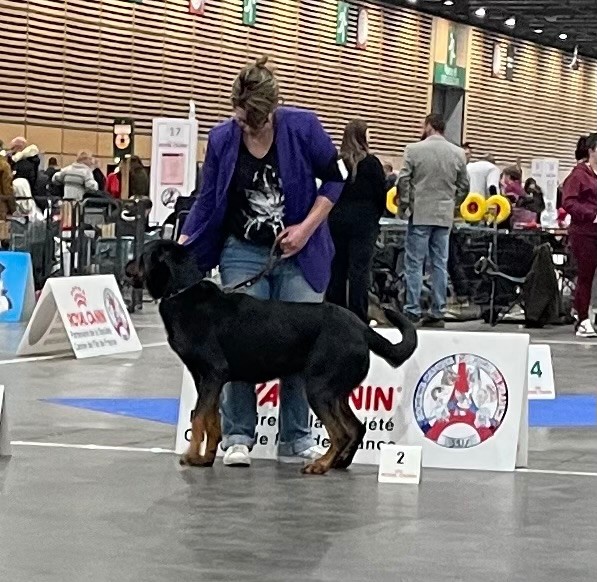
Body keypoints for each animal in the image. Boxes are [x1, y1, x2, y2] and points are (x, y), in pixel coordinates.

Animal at [127, 241, 414, 474]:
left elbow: (198, 418)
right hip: (335, 392)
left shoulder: (212, 373)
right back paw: (339, 463)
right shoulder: (206, 380)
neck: (183, 292)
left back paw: (320, 465)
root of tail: (362, 328)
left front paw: (189, 456)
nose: (128, 267)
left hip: (319, 389)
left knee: (341, 433)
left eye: (142, 254)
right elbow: (211, 420)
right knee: (356, 428)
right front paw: (205, 458)